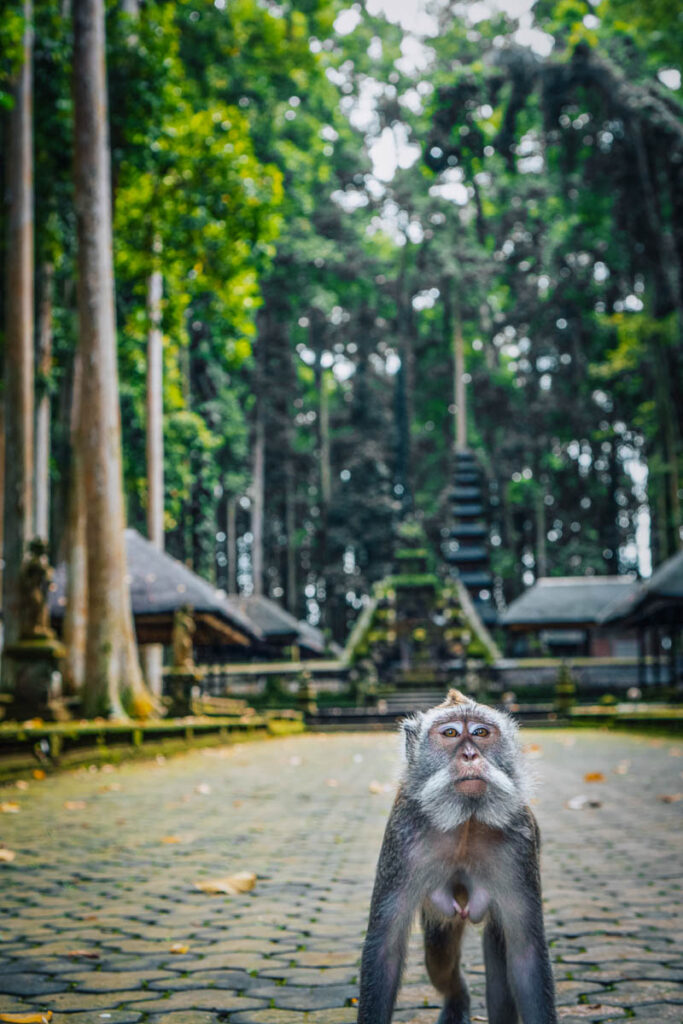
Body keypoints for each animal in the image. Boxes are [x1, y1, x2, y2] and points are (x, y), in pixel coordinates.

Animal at [358, 688, 557, 1024]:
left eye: (480, 733)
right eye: (450, 733)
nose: (470, 756)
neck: (466, 820)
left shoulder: (521, 844)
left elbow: (526, 955)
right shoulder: (402, 838)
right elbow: (385, 949)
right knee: (439, 956)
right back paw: (457, 999)